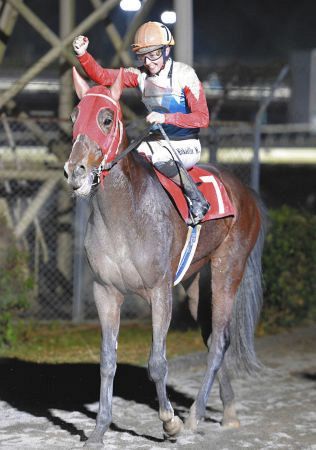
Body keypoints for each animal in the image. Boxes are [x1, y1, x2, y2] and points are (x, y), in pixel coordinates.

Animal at [65, 67, 266, 446]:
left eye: (106, 118)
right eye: (74, 116)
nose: (75, 171)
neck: (124, 216)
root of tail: (245, 192)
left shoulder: (159, 291)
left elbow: (157, 362)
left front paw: (169, 422)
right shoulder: (105, 291)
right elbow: (107, 360)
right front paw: (99, 430)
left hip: (227, 269)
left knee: (219, 341)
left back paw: (194, 418)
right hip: (196, 284)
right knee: (213, 338)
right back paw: (229, 410)